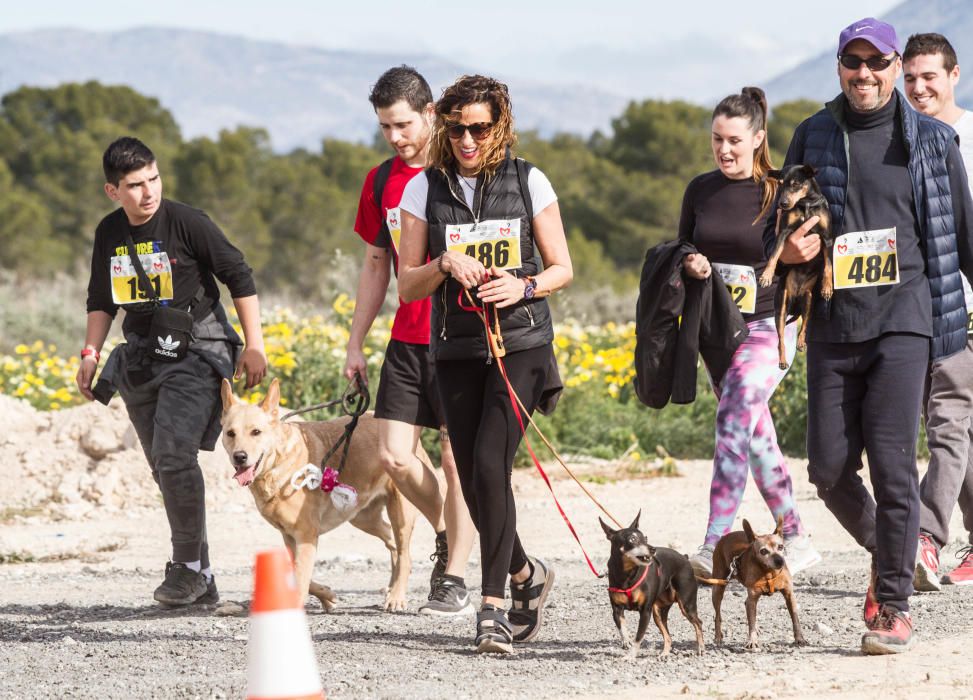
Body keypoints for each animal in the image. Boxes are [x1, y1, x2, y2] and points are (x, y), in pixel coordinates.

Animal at [220, 378, 418, 612]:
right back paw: (391, 586)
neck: (278, 464)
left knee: (404, 553)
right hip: (362, 516)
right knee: (392, 541)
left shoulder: (306, 535)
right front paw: (327, 595)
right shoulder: (290, 537)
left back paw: (397, 596)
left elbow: (300, 577)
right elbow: (298, 573)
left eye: (256, 432)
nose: (239, 457)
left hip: (400, 512)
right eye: (230, 433)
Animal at [700, 516, 804, 652]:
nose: (780, 560)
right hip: (718, 588)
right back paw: (718, 637)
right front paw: (752, 641)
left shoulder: (789, 595)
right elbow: (751, 623)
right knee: (718, 615)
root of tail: (725, 537)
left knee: (747, 606)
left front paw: (799, 638)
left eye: (781, 547)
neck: (769, 573)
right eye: (763, 551)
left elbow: (795, 619)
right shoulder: (753, 598)